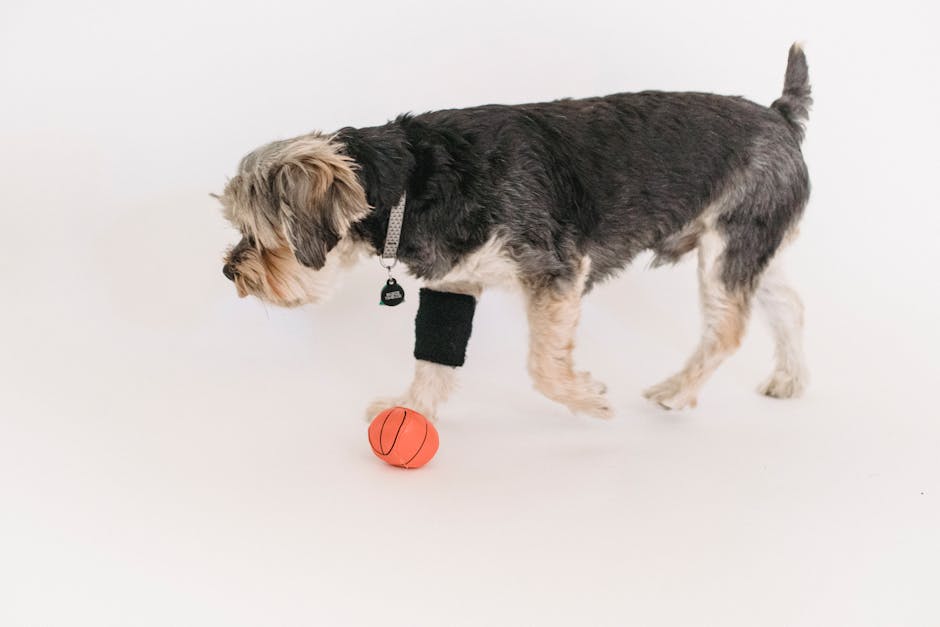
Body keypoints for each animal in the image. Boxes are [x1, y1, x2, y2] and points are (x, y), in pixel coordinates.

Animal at [217, 43, 812, 418]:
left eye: (259, 234)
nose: (228, 270)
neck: (410, 177)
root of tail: (781, 116)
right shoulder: (453, 282)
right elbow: (434, 355)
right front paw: (409, 410)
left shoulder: (556, 270)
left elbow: (542, 365)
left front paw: (589, 399)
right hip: (758, 246)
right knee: (788, 306)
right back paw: (789, 381)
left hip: (730, 245)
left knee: (727, 329)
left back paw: (675, 391)